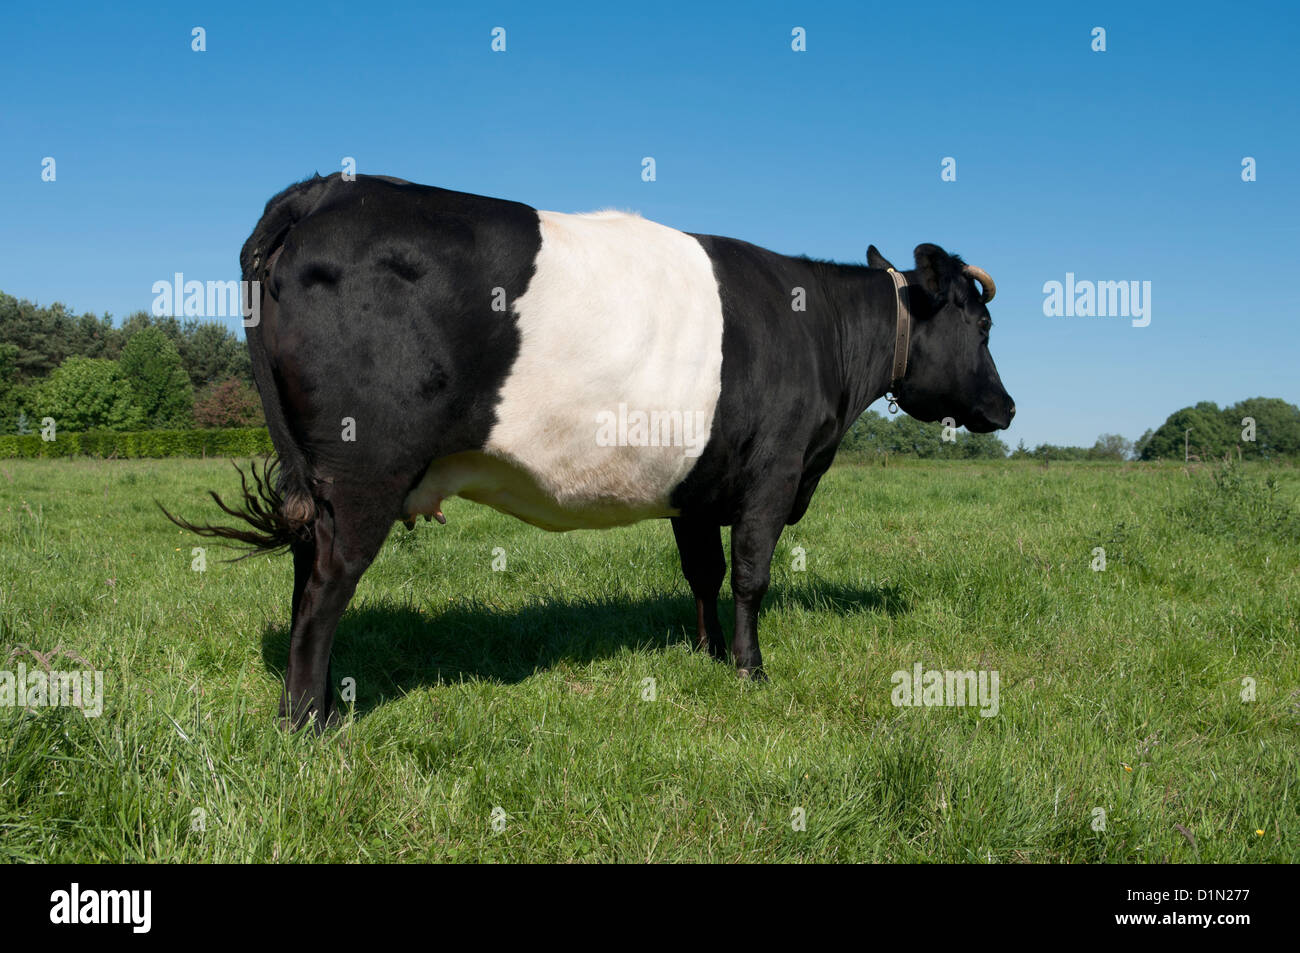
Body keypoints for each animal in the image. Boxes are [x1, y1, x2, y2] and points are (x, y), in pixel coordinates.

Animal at [167, 174, 1013, 728]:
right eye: (980, 326)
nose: (1005, 406)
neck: (820, 332)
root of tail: (322, 191)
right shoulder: (775, 469)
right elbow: (751, 576)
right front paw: (751, 668)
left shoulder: (698, 487)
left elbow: (703, 572)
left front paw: (705, 653)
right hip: (363, 469)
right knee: (326, 583)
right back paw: (307, 720)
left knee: (304, 569)